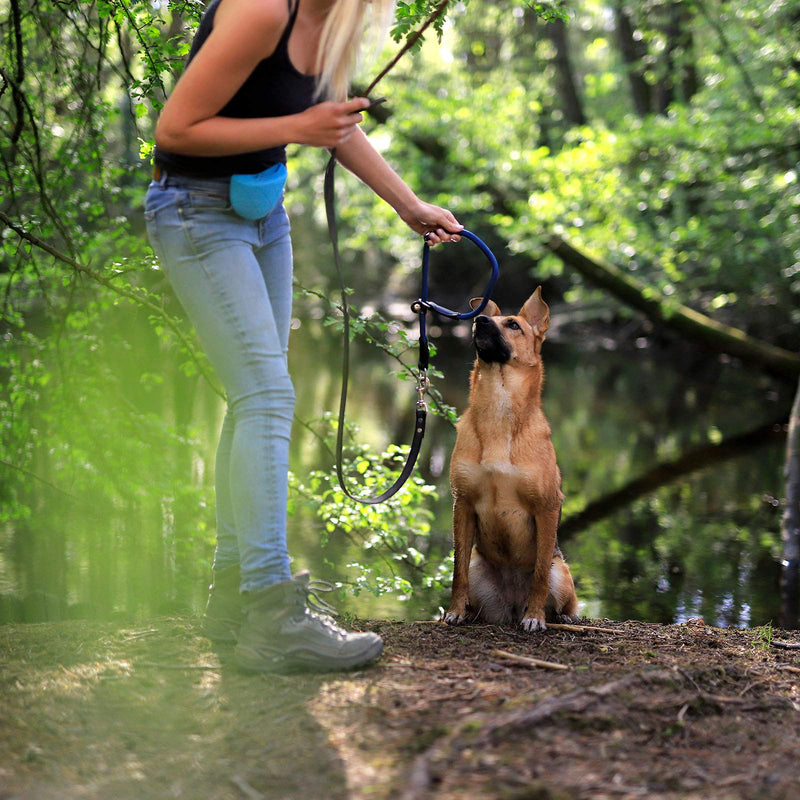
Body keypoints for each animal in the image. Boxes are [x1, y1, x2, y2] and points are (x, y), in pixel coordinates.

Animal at [444, 288, 580, 632]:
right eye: (483, 318)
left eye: (513, 325)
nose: (479, 320)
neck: (498, 407)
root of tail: (512, 606)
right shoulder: (462, 502)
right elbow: (457, 571)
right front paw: (454, 611)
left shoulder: (547, 507)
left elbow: (540, 574)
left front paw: (536, 617)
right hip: (480, 572)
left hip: (562, 573)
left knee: (561, 596)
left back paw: (556, 615)